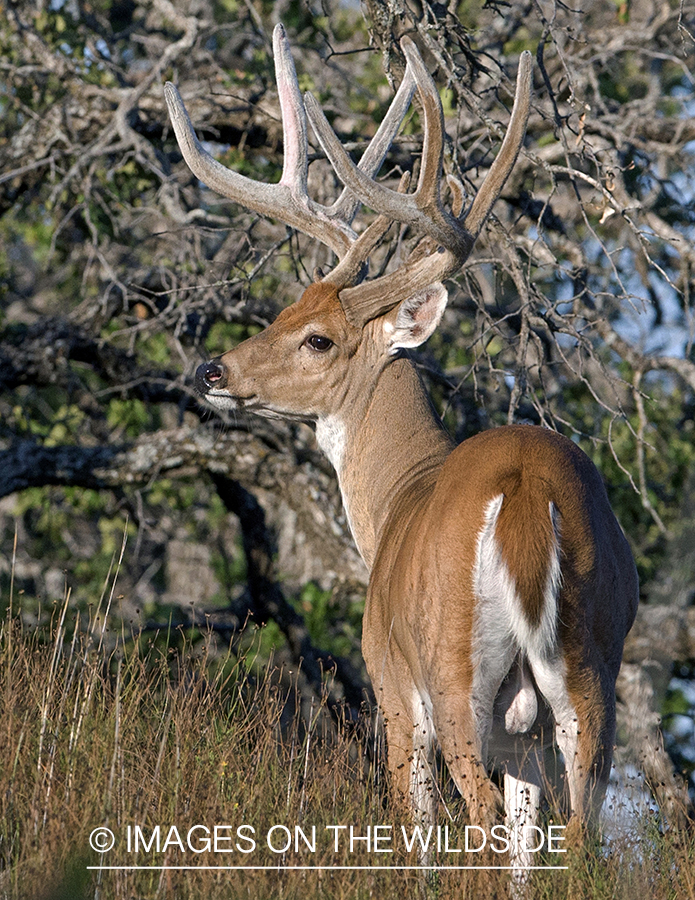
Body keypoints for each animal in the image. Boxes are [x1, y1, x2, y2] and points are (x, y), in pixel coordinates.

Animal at [162, 24, 636, 872]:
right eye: (286, 308)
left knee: (476, 815)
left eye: (317, 338)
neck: (393, 501)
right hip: (590, 670)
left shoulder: (387, 683)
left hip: (450, 668)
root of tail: (525, 492)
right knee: (577, 833)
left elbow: (415, 832)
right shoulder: (527, 740)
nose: (213, 369)